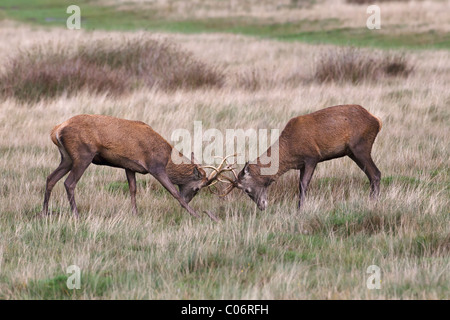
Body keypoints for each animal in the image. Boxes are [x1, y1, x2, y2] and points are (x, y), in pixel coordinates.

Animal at [40, 114, 227, 221]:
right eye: (198, 188)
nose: (188, 200)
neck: (167, 159)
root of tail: (55, 131)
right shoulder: (155, 166)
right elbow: (173, 192)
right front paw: (197, 215)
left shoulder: (129, 166)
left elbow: (133, 189)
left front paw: (135, 214)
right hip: (83, 154)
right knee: (69, 183)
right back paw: (76, 215)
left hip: (67, 157)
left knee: (50, 178)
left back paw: (44, 213)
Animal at [220, 105, 382, 210]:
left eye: (246, 190)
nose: (262, 206)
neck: (290, 152)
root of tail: (377, 121)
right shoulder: (301, 164)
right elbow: (300, 184)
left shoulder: (312, 156)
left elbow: (303, 184)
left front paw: (300, 209)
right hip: (352, 152)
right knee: (372, 175)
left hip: (360, 147)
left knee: (376, 173)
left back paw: (373, 202)